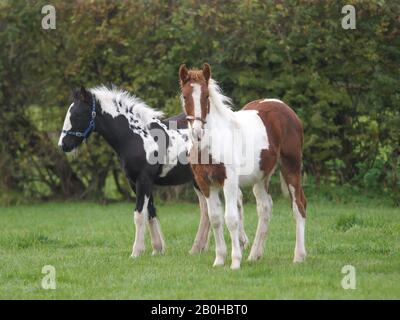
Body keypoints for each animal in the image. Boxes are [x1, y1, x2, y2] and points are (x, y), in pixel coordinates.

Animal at [58, 86, 228, 256]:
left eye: (77, 114)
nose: (63, 145)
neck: (136, 137)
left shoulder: (143, 180)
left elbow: (139, 215)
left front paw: (136, 252)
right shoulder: (135, 182)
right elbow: (150, 213)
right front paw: (157, 249)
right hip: (197, 180)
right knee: (205, 210)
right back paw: (198, 248)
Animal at [180, 63, 308, 268]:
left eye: (206, 96)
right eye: (185, 96)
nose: (198, 132)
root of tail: (285, 107)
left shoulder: (229, 181)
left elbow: (231, 218)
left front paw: (235, 262)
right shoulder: (205, 183)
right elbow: (215, 218)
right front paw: (219, 260)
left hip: (291, 167)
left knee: (299, 206)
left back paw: (299, 256)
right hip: (261, 176)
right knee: (265, 208)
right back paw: (254, 255)